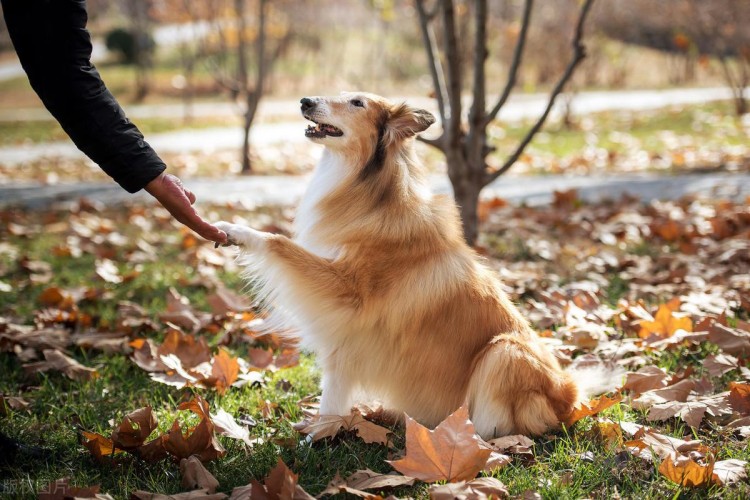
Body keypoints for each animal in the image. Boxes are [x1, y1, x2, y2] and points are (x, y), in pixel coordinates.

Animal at [214, 93, 620, 438]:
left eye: (357, 102)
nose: (305, 101)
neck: (375, 196)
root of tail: (569, 395)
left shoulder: (346, 298)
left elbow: (280, 243)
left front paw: (238, 231)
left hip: (503, 352)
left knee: (498, 424)